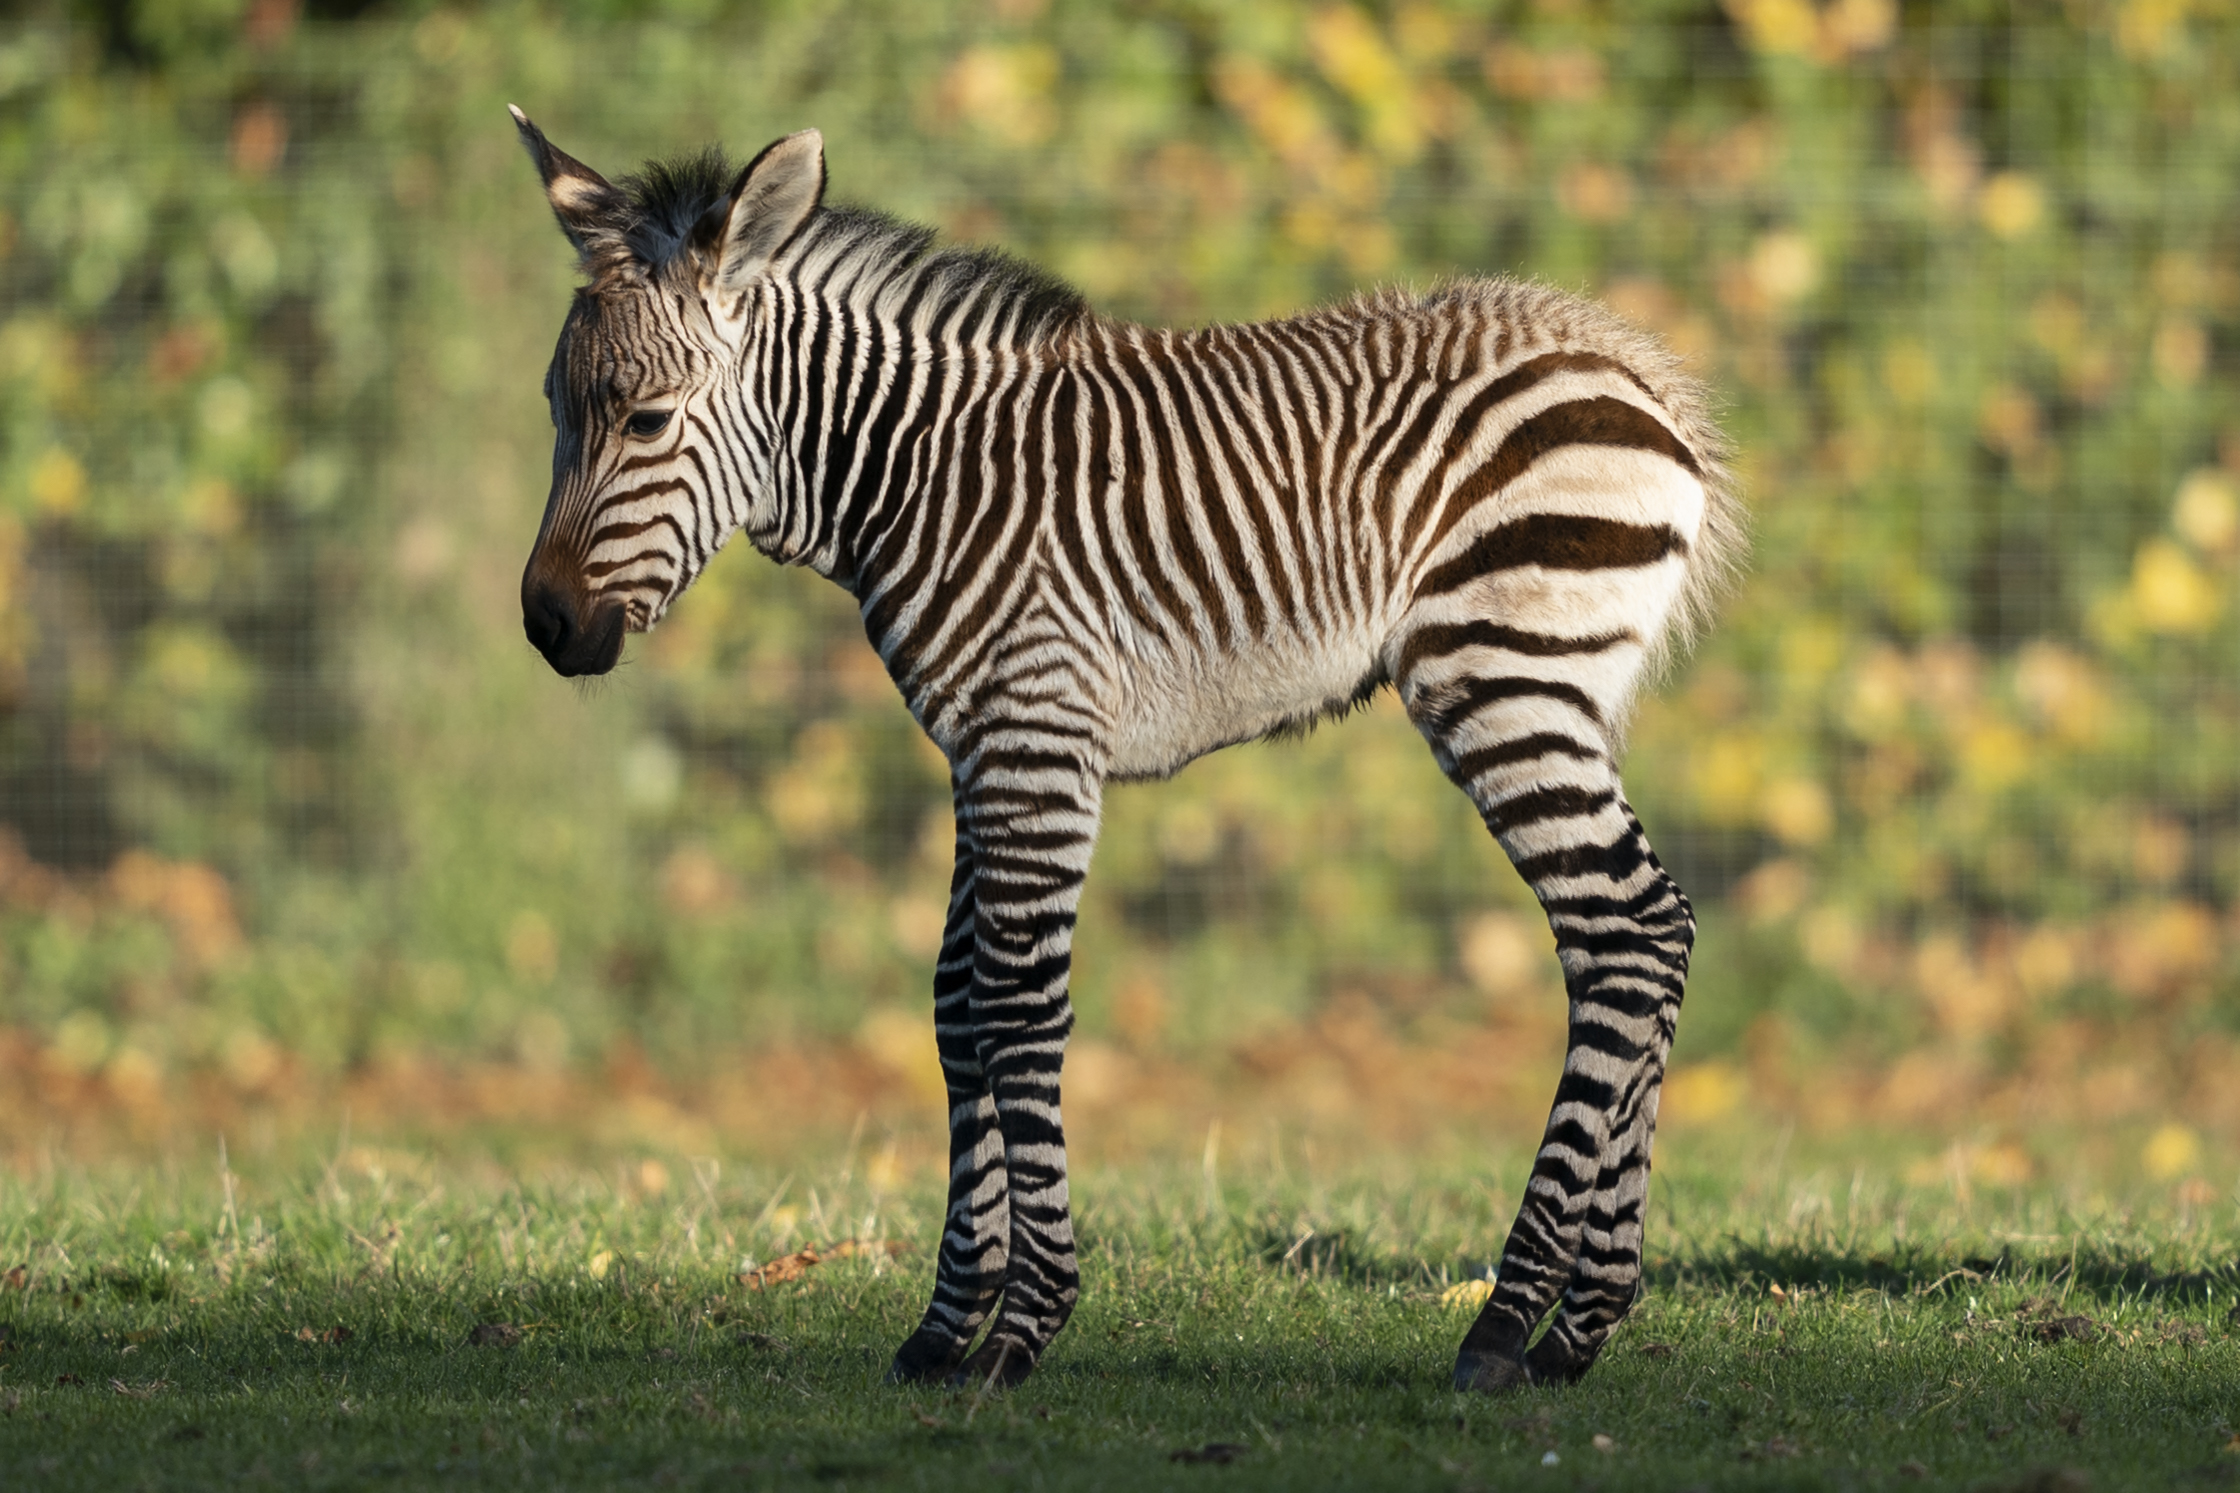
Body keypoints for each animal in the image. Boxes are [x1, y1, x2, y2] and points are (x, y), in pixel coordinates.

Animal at [512, 110, 1747, 1396]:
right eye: (555, 406)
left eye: (647, 420)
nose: (545, 625)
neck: (917, 476)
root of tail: (1627, 367)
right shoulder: (981, 745)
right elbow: (955, 1004)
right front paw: (945, 1322)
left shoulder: (1036, 734)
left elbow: (1014, 1003)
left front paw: (1023, 1324)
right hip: (1556, 687)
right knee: (1643, 935)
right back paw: (1577, 1322)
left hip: (1501, 675)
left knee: (1626, 930)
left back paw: (1506, 1320)